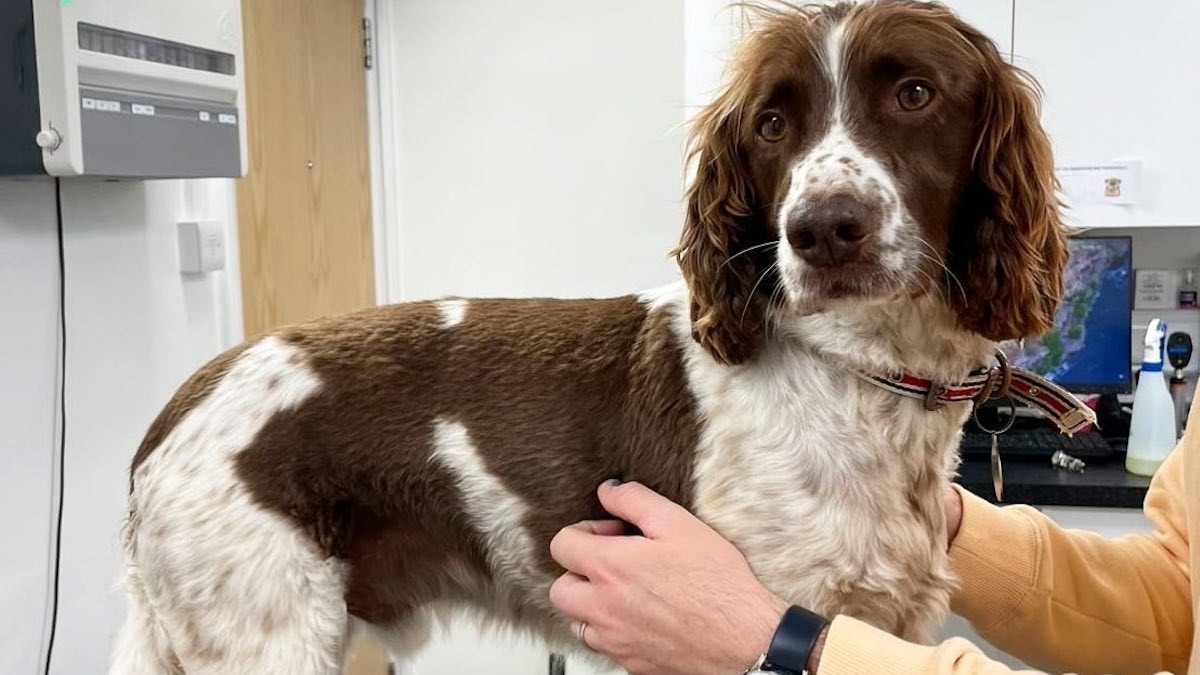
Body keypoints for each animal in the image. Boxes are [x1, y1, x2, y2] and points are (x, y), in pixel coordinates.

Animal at [114, 2, 1070, 667]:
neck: (862, 369)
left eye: (915, 93)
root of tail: (183, 402)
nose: (822, 231)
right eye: (771, 124)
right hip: (266, 630)